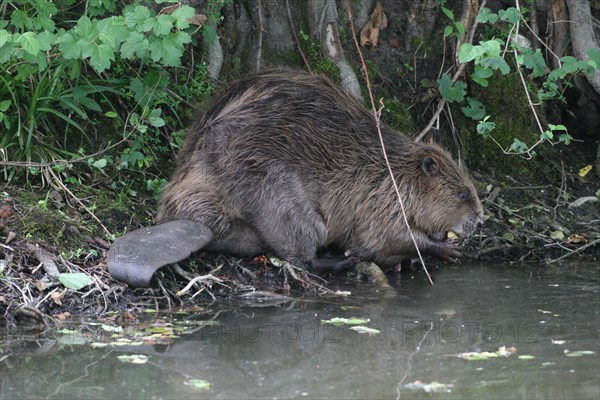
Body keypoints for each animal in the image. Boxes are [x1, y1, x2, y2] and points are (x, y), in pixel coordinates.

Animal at [106, 70, 482, 286]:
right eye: (463, 195)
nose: (480, 219)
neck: (393, 170)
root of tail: (190, 219)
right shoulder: (382, 200)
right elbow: (383, 239)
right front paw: (445, 248)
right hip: (281, 199)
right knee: (302, 256)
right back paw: (341, 261)